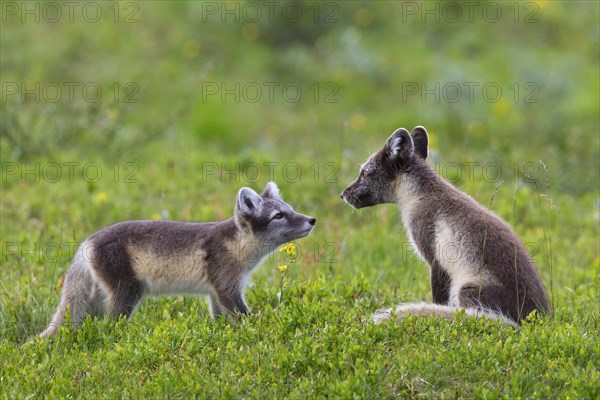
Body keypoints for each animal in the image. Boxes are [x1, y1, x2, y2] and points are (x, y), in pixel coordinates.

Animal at [39, 184, 316, 338]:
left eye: (290, 209)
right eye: (278, 216)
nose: (312, 220)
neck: (237, 244)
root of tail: (88, 241)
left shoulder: (215, 292)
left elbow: (220, 318)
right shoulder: (227, 286)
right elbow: (243, 315)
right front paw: (260, 328)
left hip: (96, 299)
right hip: (127, 291)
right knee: (110, 325)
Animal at [340, 126, 552, 326]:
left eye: (365, 172)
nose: (343, 195)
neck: (422, 196)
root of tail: (540, 319)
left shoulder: (435, 259)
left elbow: (438, 300)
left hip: (466, 290)